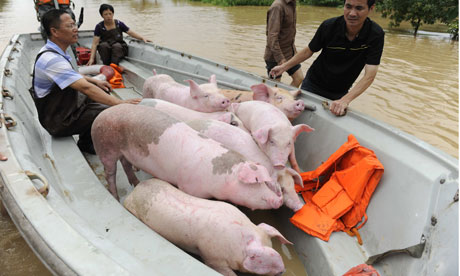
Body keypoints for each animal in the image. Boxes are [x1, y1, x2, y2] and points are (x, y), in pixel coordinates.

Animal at [91, 103, 282, 209]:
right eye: (257, 182)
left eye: (266, 182)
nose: (279, 200)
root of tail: (102, 114)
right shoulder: (188, 186)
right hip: (105, 145)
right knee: (110, 172)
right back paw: (115, 198)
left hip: (124, 150)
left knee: (125, 163)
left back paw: (136, 183)